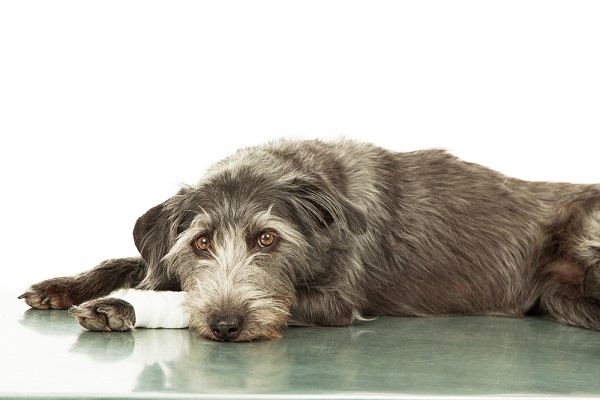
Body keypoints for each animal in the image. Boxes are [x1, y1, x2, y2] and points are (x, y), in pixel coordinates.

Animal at [18, 139, 600, 342]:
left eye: (267, 239)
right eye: (201, 244)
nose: (226, 326)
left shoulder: (337, 300)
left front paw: (119, 307)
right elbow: (132, 260)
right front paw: (65, 285)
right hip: (559, 297)